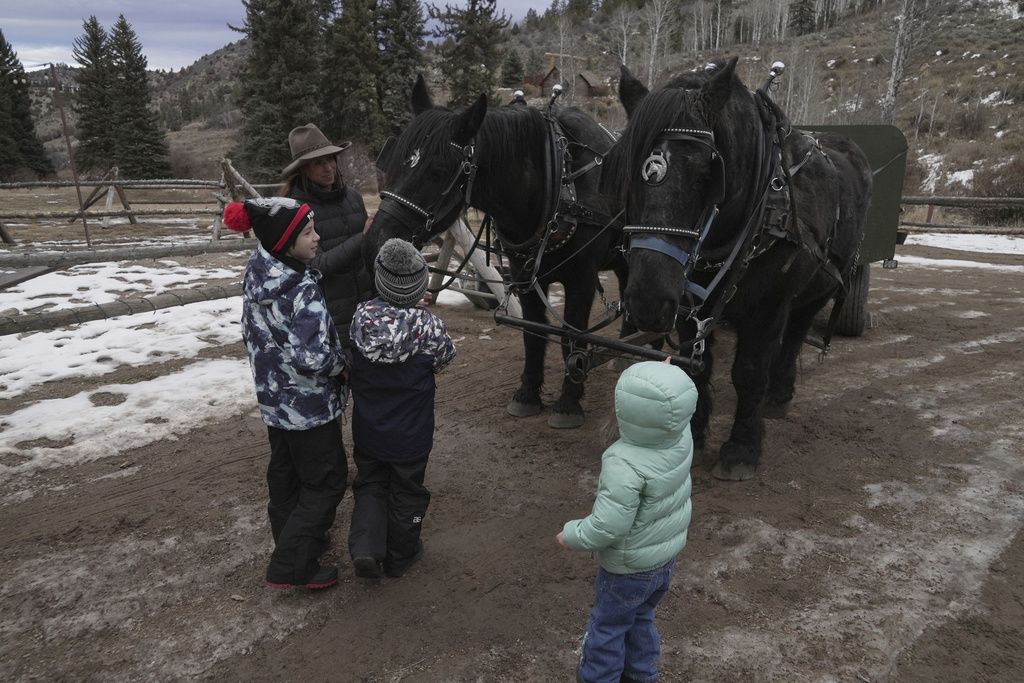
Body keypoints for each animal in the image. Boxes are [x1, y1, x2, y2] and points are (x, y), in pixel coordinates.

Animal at [365, 75, 628, 429]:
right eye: (395, 161)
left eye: (438, 171)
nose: (377, 241)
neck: (558, 181)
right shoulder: (524, 276)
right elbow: (533, 333)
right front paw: (528, 394)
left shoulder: (582, 278)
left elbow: (570, 338)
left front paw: (568, 402)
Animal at [601, 58, 873, 480]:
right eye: (627, 173)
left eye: (706, 175)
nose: (646, 303)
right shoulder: (687, 304)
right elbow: (697, 369)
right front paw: (694, 436)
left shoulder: (769, 306)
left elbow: (749, 371)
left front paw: (742, 447)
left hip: (823, 284)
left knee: (796, 333)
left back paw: (778, 394)